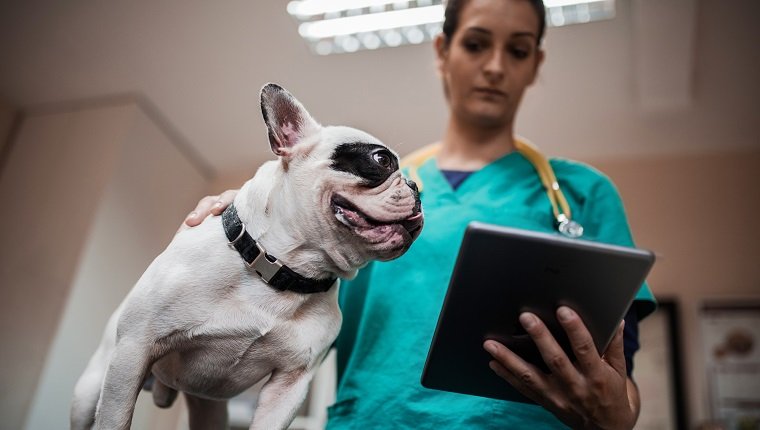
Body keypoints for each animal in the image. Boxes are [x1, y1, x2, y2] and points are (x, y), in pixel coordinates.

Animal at [72, 84, 424, 430]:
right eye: (381, 159)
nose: (415, 187)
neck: (280, 267)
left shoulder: (290, 385)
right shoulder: (134, 351)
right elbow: (115, 420)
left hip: (209, 410)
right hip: (93, 387)